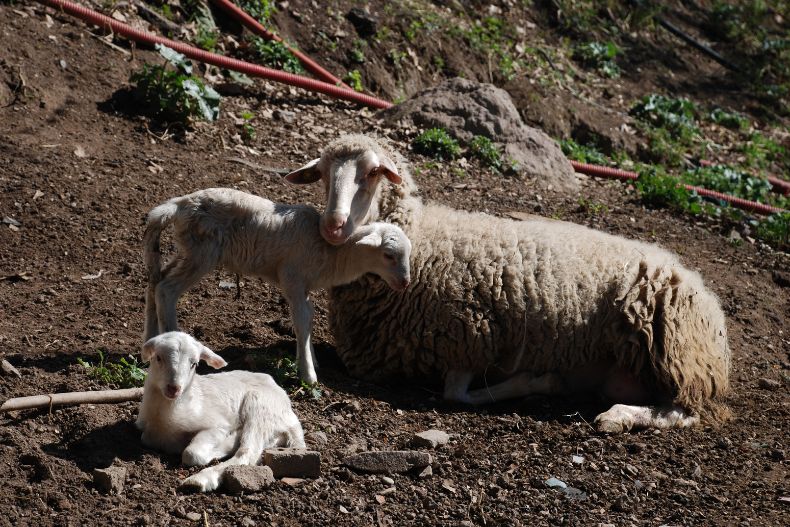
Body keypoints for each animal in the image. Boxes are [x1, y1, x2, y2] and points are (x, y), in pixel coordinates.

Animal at [136, 332, 304, 492]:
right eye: (158, 358)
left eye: (194, 364)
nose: (174, 388)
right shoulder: (146, 432)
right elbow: (145, 438)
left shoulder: (217, 425)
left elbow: (191, 454)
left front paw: (224, 444)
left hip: (260, 406)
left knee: (247, 452)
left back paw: (200, 479)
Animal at [144, 189, 414, 384]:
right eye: (389, 255)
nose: (405, 282)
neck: (332, 254)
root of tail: (179, 204)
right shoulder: (292, 279)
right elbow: (301, 321)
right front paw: (308, 375)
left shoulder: (304, 287)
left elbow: (308, 319)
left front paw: (310, 359)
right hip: (202, 252)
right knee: (167, 289)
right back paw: (173, 340)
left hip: (188, 249)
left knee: (155, 280)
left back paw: (150, 340)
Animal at [284, 133, 732, 434]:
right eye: (323, 175)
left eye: (373, 173)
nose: (333, 226)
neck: (424, 237)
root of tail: (702, 289)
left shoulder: (472, 336)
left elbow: (457, 393)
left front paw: (540, 381)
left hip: (678, 354)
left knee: (684, 411)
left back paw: (617, 417)